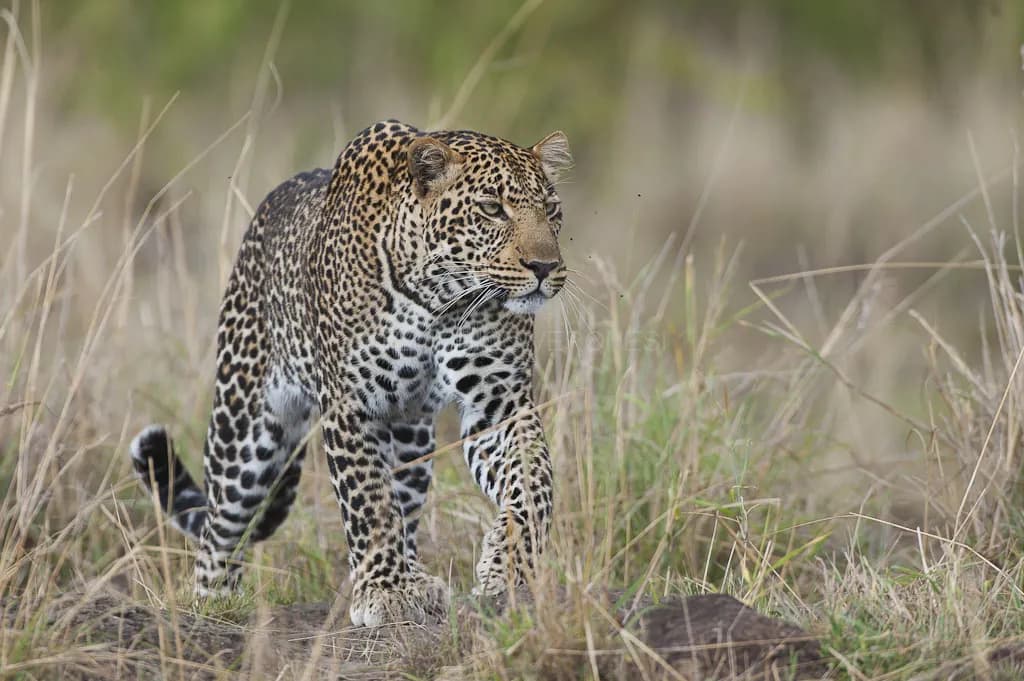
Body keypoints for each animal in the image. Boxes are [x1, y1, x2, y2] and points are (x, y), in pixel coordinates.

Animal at [129, 119, 572, 627]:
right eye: (492, 209)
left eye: (551, 209)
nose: (545, 267)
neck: (439, 297)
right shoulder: (350, 406)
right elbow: (369, 503)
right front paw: (385, 591)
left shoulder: (499, 402)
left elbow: (533, 483)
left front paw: (509, 567)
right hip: (244, 434)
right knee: (220, 525)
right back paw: (213, 601)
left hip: (410, 440)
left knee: (405, 504)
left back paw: (417, 579)